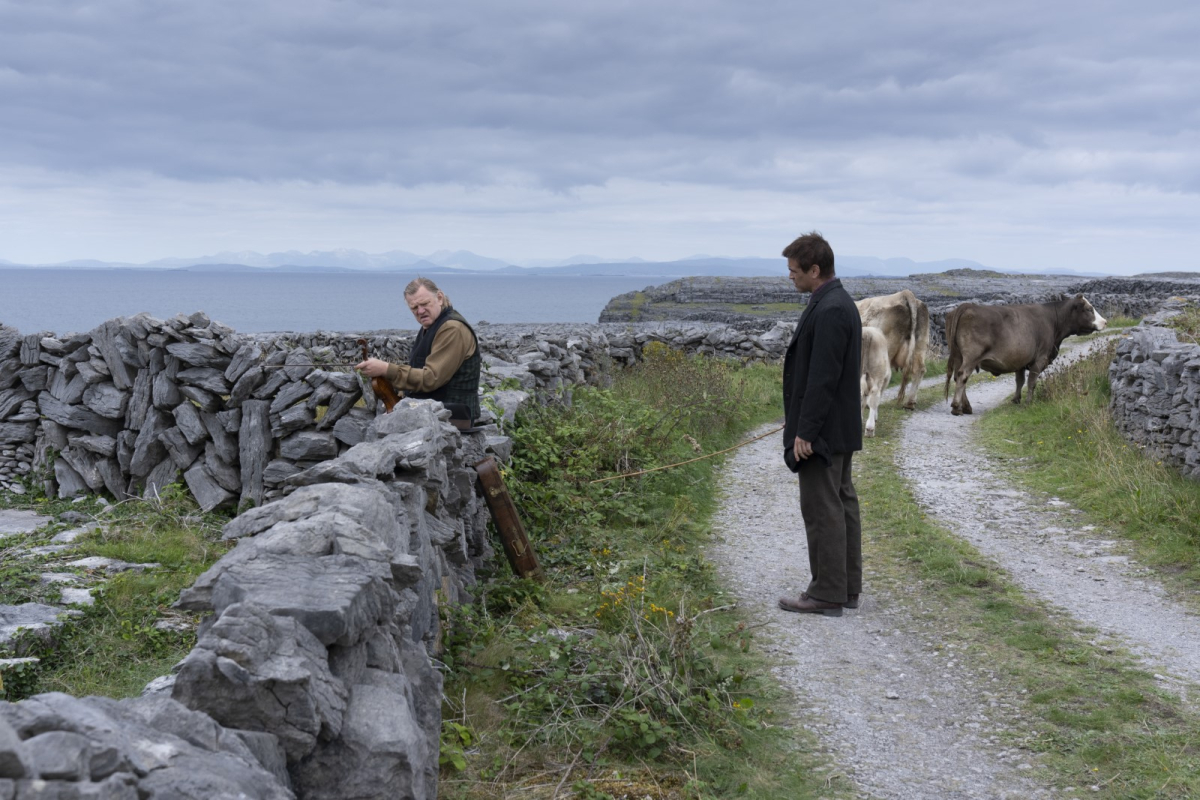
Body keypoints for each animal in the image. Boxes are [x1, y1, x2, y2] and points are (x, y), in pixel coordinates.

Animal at [945, 296, 1104, 419]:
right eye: (1089, 309)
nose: (1105, 322)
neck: (1053, 320)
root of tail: (968, 306)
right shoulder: (1040, 359)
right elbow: (1031, 382)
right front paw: (1028, 402)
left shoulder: (1020, 360)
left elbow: (1019, 381)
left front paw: (1016, 399)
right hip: (971, 357)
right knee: (962, 376)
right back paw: (956, 408)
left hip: (958, 356)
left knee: (958, 377)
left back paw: (966, 407)